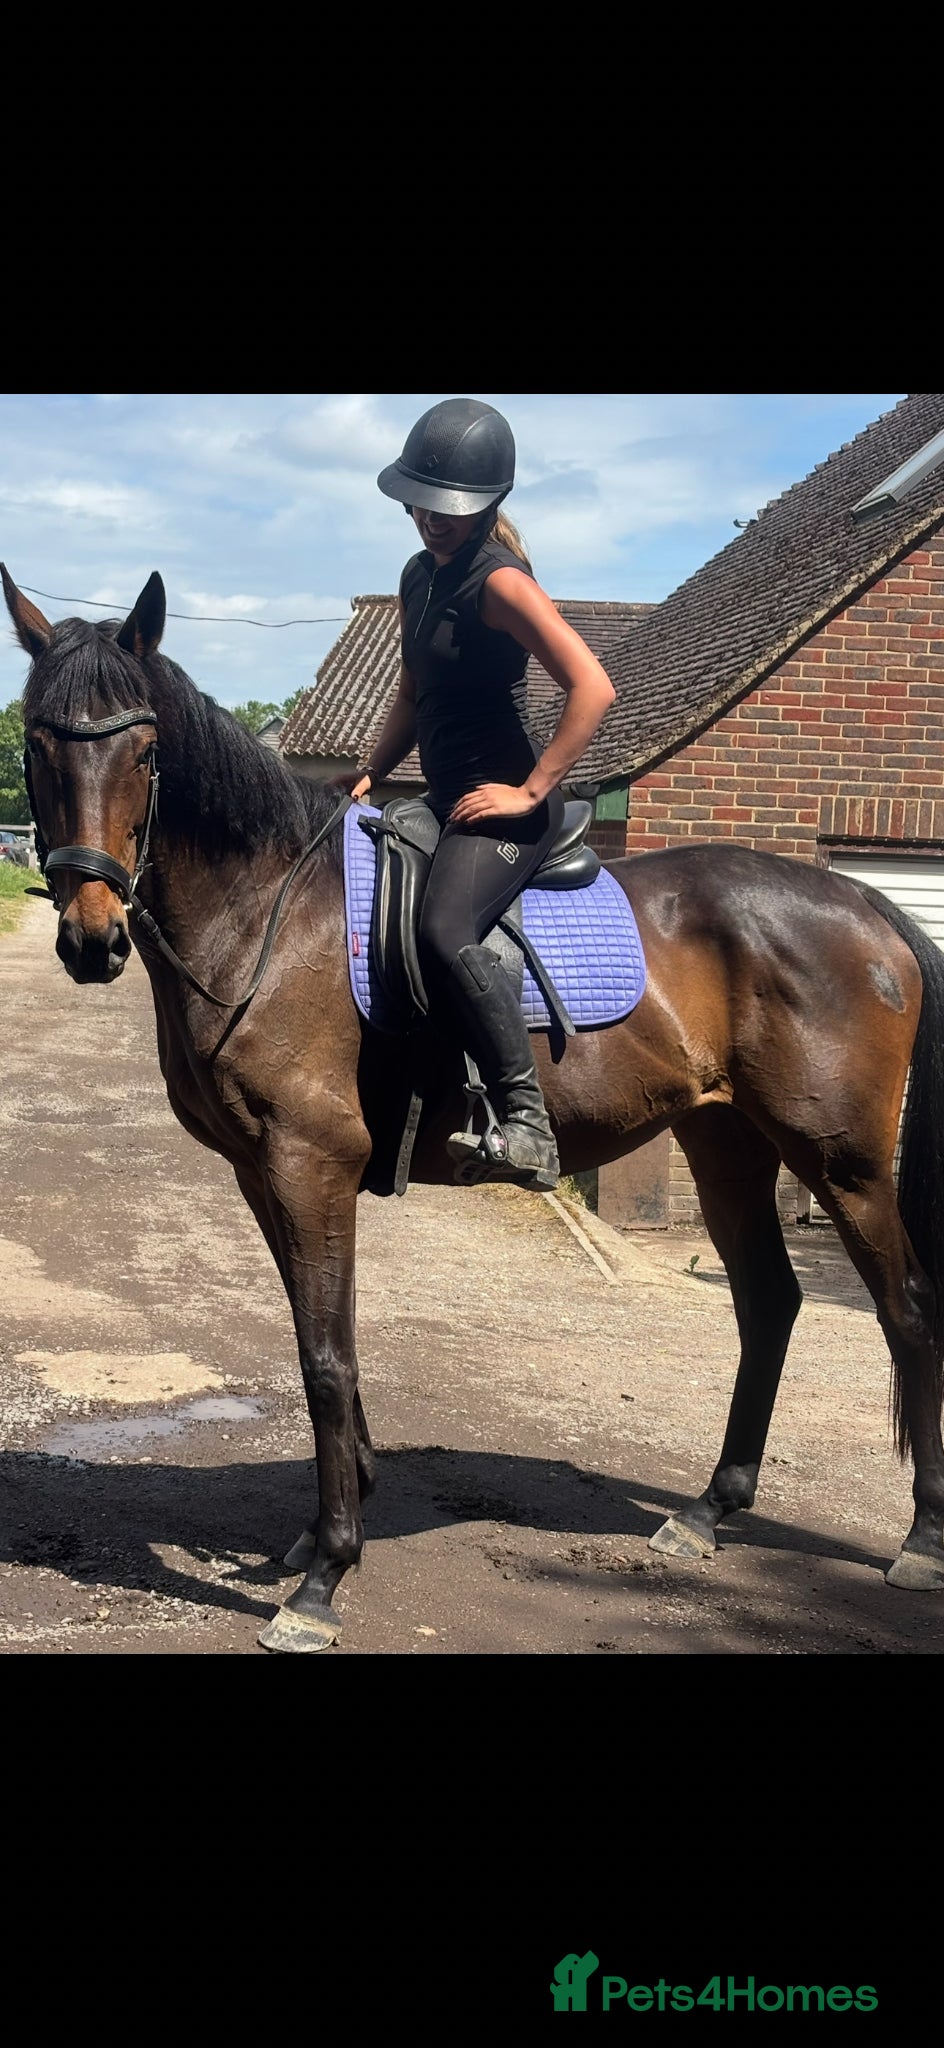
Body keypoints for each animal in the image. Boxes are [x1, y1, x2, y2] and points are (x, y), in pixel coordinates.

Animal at [4, 563, 944, 1655]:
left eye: (147, 751)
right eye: (37, 743)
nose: (91, 937)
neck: (270, 916)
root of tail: (864, 906)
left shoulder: (309, 1165)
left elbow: (324, 1355)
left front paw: (324, 1575)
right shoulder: (259, 1170)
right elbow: (319, 1337)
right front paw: (325, 1526)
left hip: (842, 1160)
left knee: (905, 1307)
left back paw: (919, 1539)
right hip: (726, 1142)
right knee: (768, 1304)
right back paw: (708, 1510)